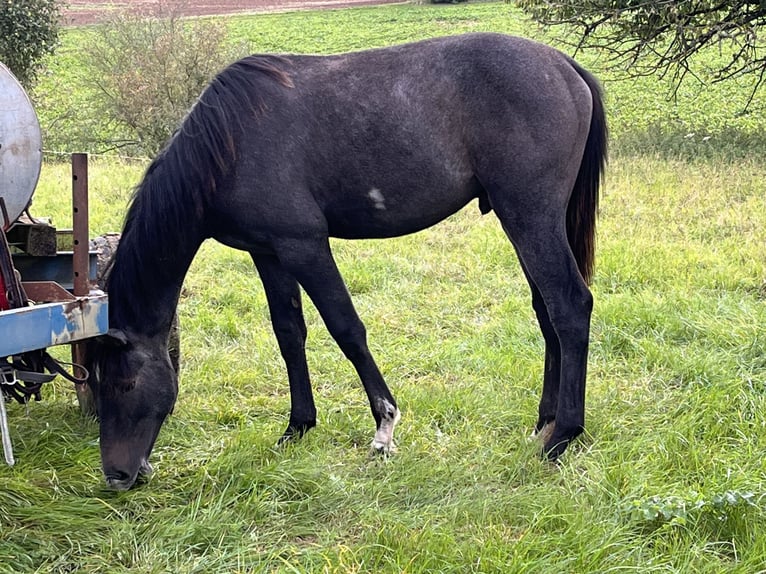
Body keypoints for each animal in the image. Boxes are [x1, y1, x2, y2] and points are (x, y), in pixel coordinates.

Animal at [85, 32, 608, 490]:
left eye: (126, 384)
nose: (117, 476)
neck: (230, 143)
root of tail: (564, 66)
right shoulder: (268, 252)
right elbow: (289, 334)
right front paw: (297, 426)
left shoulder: (306, 246)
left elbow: (346, 329)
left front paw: (384, 429)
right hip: (526, 221)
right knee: (546, 312)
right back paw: (546, 421)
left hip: (529, 216)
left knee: (569, 305)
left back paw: (563, 436)